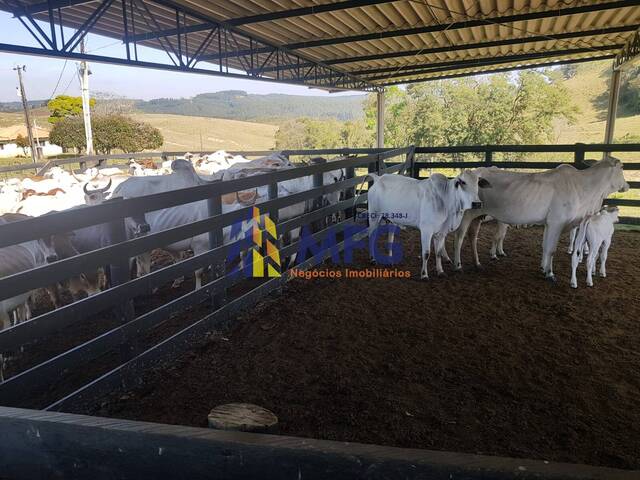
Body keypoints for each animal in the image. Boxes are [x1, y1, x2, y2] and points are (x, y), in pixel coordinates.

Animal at [452, 160, 628, 282]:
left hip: (478, 216)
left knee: (472, 236)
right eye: (622, 168)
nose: (627, 185)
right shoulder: (557, 222)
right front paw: (550, 274)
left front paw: (543, 268)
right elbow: (551, 249)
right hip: (466, 214)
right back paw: (457, 265)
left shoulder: (549, 223)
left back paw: (477, 263)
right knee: (459, 237)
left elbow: (545, 247)